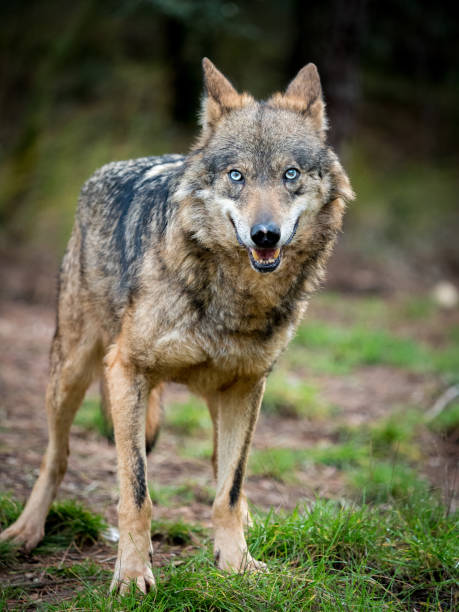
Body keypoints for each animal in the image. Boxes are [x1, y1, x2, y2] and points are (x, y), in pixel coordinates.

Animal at [0, 57, 356, 592]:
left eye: (290, 174)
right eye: (236, 176)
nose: (265, 235)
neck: (233, 296)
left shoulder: (248, 385)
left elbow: (229, 489)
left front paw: (236, 563)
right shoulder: (126, 372)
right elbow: (137, 493)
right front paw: (132, 575)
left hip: (220, 398)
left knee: (223, 470)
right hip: (71, 374)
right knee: (55, 457)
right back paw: (27, 529)